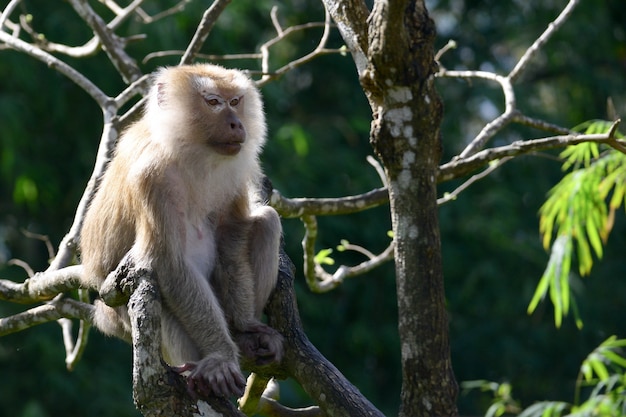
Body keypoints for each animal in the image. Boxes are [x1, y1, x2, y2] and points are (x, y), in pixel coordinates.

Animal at [80, 63, 282, 398]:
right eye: (213, 102)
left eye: (236, 101)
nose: (236, 123)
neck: (192, 152)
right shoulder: (152, 177)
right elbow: (168, 263)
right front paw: (221, 357)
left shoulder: (233, 172)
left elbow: (231, 234)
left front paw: (244, 326)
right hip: (123, 316)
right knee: (150, 274)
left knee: (267, 220)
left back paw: (242, 339)